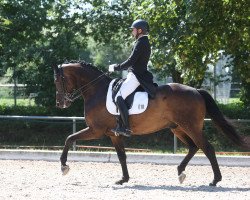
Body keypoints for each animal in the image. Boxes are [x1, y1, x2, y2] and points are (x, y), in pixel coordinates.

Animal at [53, 60, 249, 186]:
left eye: (57, 80)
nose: (60, 103)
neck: (97, 91)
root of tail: (196, 91)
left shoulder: (96, 130)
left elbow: (69, 138)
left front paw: (63, 166)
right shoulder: (113, 134)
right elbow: (122, 156)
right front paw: (123, 179)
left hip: (191, 127)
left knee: (207, 148)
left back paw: (215, 180)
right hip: (177, 128)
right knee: (194, 147)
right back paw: (181, 172)